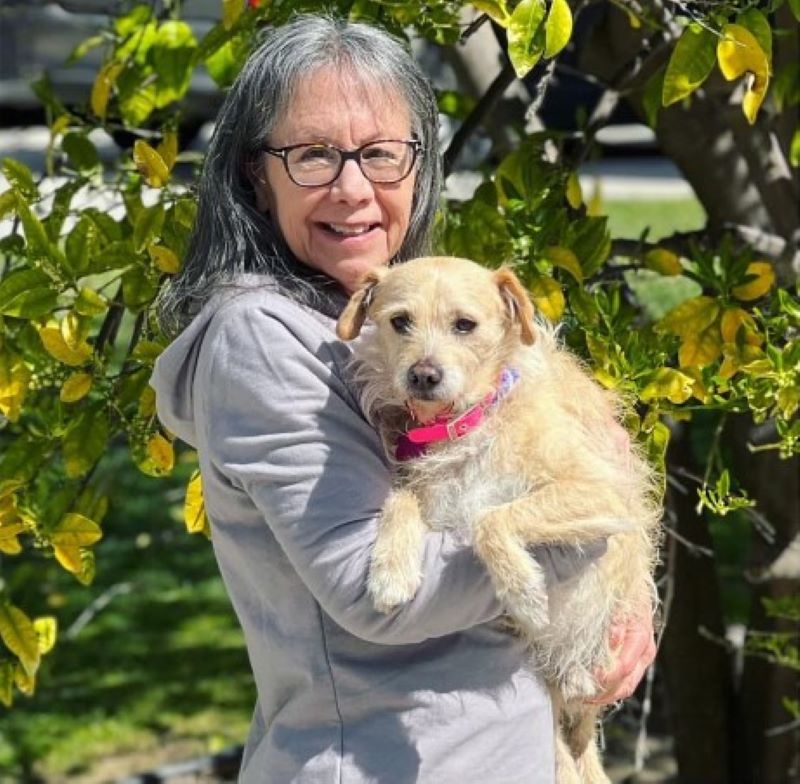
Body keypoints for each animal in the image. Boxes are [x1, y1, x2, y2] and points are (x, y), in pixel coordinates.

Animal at [336, 258, 664, 784]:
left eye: (464, 325)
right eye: (400, 321)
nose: (423, 375)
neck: (465, 422)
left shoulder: (602, 490)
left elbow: (491, 519)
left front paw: (525, 592)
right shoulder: (429, 495)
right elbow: (400, 502)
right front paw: (389, 571)